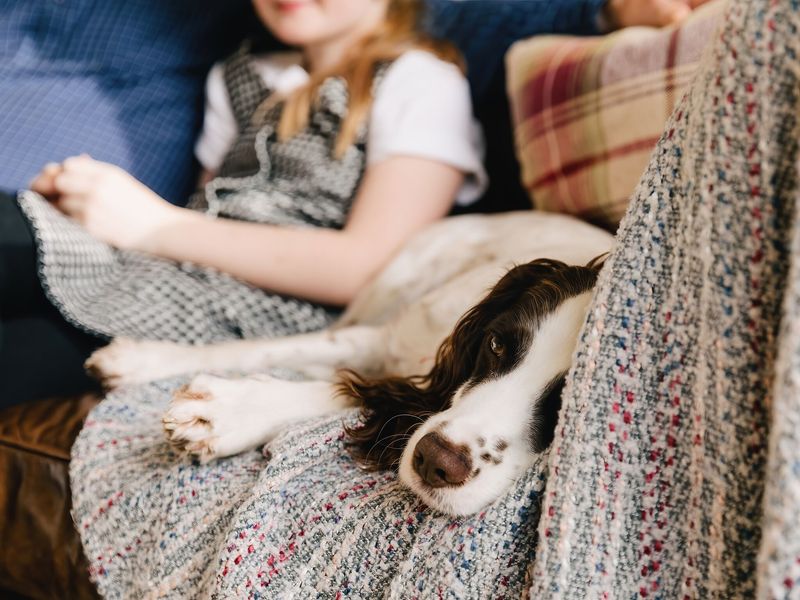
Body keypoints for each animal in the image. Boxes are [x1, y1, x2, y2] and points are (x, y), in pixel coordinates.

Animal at [87, 209, 612, 512]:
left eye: (565, 407)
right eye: (497, 345)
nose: (435, 462)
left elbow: (343, 392)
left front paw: (227, 414)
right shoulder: (384, 342)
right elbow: (273, 350)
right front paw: (149, 361)